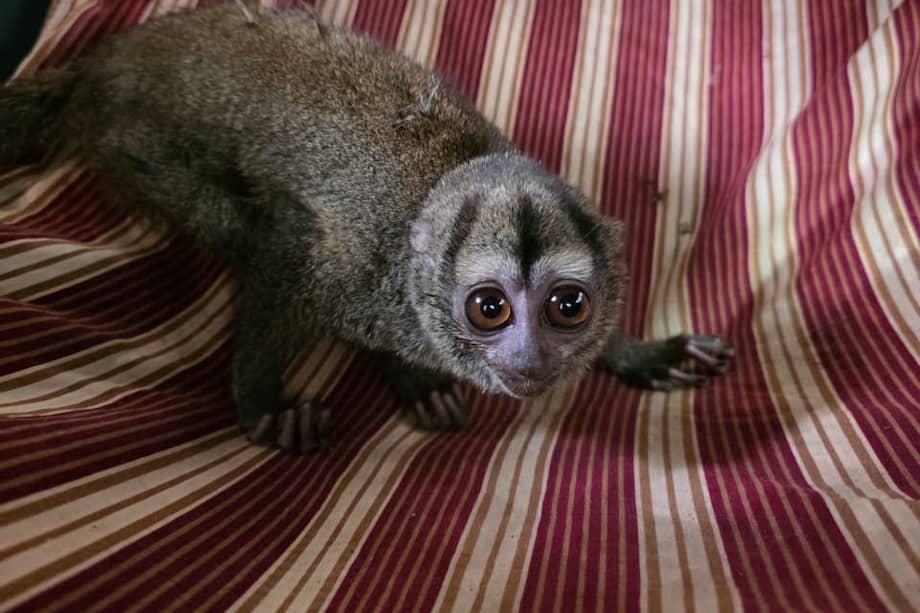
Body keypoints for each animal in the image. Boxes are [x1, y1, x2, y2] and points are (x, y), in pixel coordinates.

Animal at [0, 2, 733, 453]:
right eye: (489, 308)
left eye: (569, 306)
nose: (529, 361)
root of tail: (98, 67)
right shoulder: (348, 268)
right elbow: (285, 249)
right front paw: (264, 404)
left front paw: (638, 353)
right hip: (132, 149)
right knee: (240, 224)